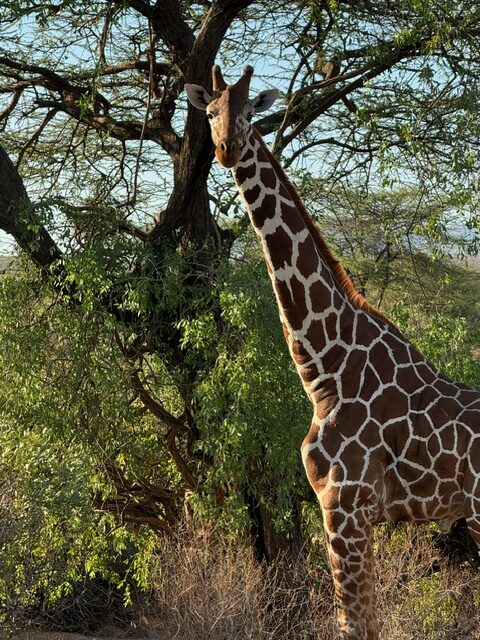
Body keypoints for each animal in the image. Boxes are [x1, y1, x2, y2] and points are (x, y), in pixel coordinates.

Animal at [185, 65, 480, 640]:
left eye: (250, 111)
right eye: (209, 110)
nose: (227, 148)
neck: (326, 369)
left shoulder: (343, 507)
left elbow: (354, 623)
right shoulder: (345, 510)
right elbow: (359, 620)